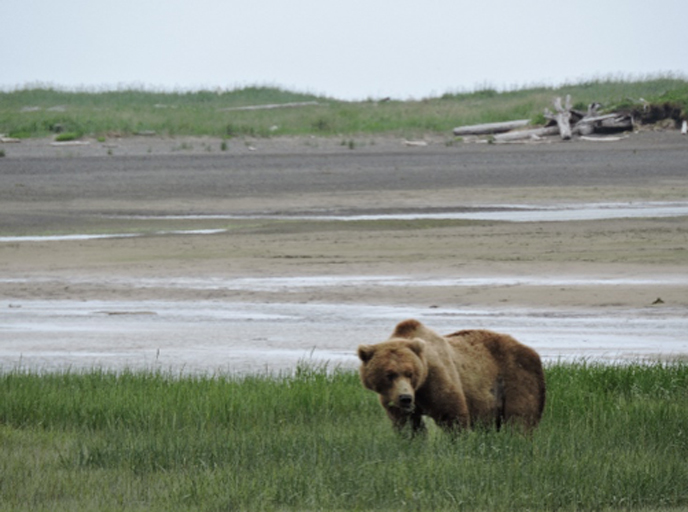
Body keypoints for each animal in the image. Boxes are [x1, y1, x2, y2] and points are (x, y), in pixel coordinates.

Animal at [358, 320, 544, 432]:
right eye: (389, 374)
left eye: (410, 373)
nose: (405, 398)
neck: (419, 387)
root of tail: (531, 350)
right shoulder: (392, 398)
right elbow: (408, 425)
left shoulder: (437, 378)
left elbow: (452, 415)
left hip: (516, 377)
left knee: (520, 419)